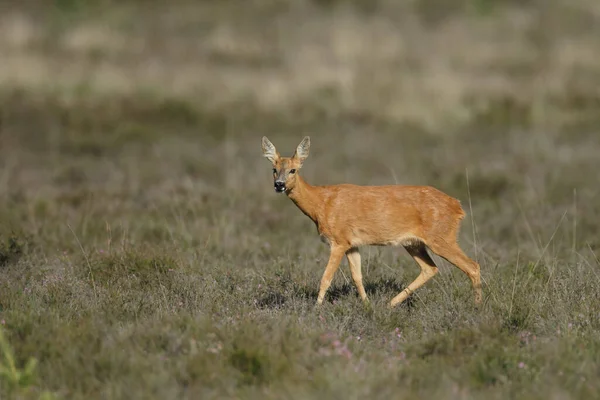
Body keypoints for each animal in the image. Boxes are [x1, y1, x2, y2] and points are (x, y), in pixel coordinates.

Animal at [260, 136, 480, 308]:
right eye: (273, 169)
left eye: (293, 170)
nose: (279, 185)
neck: (321, 204)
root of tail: (458, 207)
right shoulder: (352, 244)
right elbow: (357, 277)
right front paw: (366, 305)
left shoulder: (338, 241)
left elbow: (325, 278)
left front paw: (316, 309)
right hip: (414, 243)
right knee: (430, 268)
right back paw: (390, 303)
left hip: (441, 237)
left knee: (472, 266)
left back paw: (477, 307)